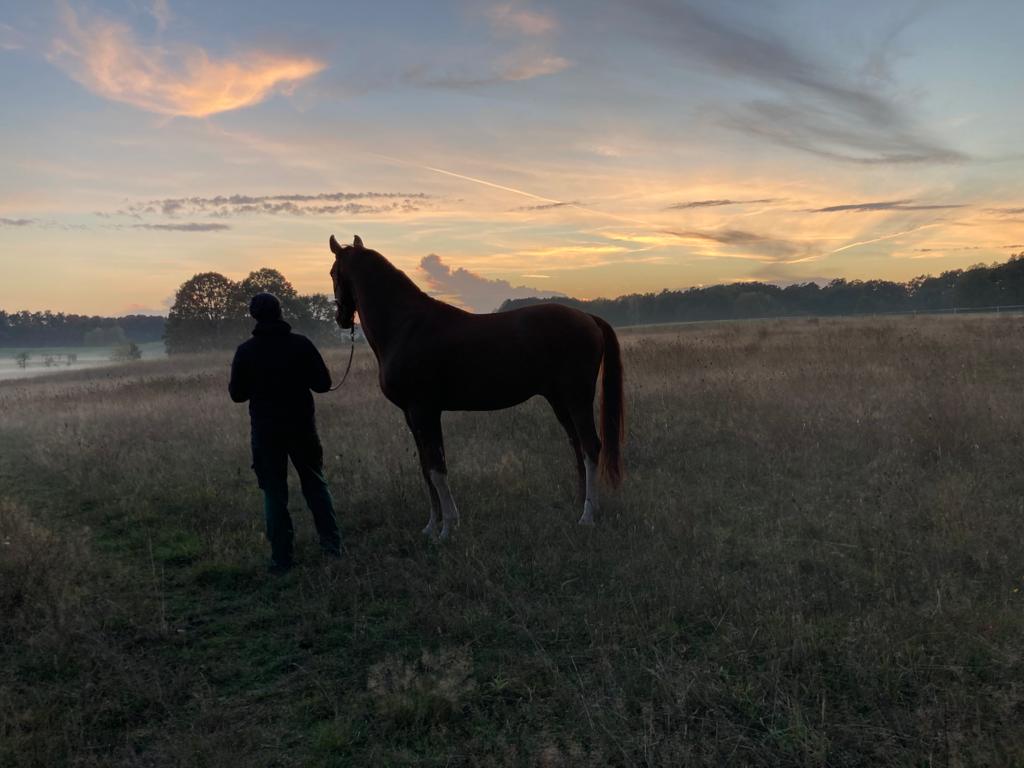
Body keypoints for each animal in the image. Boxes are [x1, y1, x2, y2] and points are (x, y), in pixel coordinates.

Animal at [328, 234, 624, 539]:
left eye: (332, 273)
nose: (340, 318)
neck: (405, 326)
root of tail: (588, 317)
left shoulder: (424, 411)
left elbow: (437, 468)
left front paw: (447, 528)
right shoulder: (411, 415)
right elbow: (426, 469)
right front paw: (431, 526)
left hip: (577, 398)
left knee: (590, 446)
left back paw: (588, 516)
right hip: (559, 400)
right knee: (577, 445)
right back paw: (583, 505)